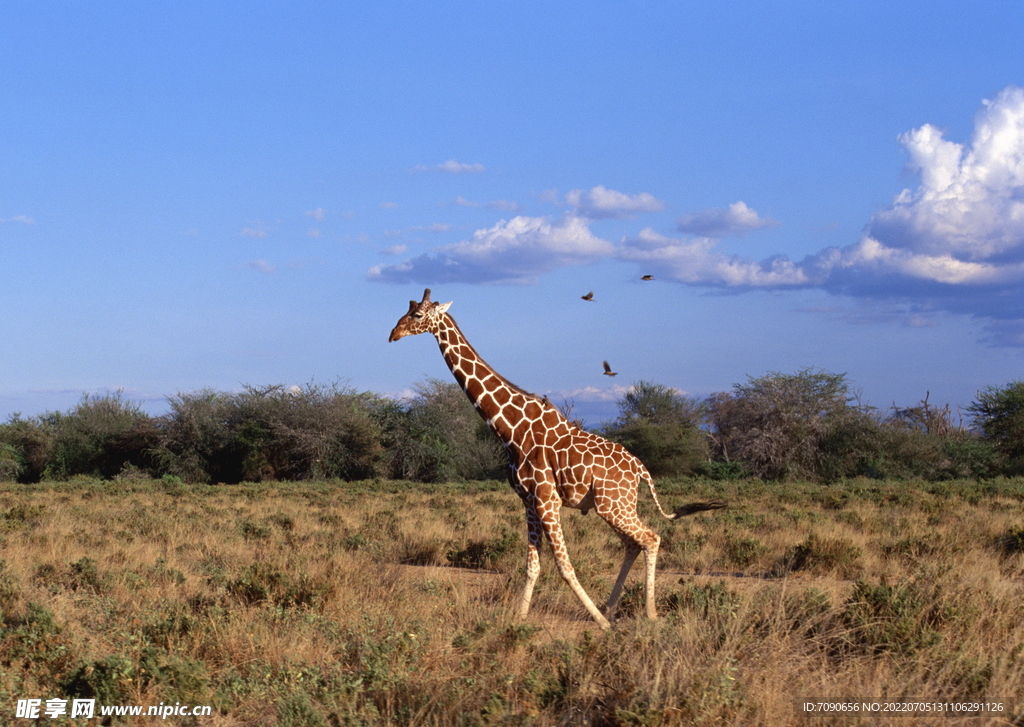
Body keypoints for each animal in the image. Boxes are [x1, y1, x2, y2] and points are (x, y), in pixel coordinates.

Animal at [387, 286, 724, 630]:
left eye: (417, 314)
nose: (393, 334)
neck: (511, 430)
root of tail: (641, 469)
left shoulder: (548, 499)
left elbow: (564, 566)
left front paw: (599, 624)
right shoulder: (528, 500)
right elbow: (532, 566)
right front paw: (519, 619)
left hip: (613, 505)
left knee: (651, 538)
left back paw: (647, 613)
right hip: (613, 506)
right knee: (634, 543)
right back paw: (611, 608)